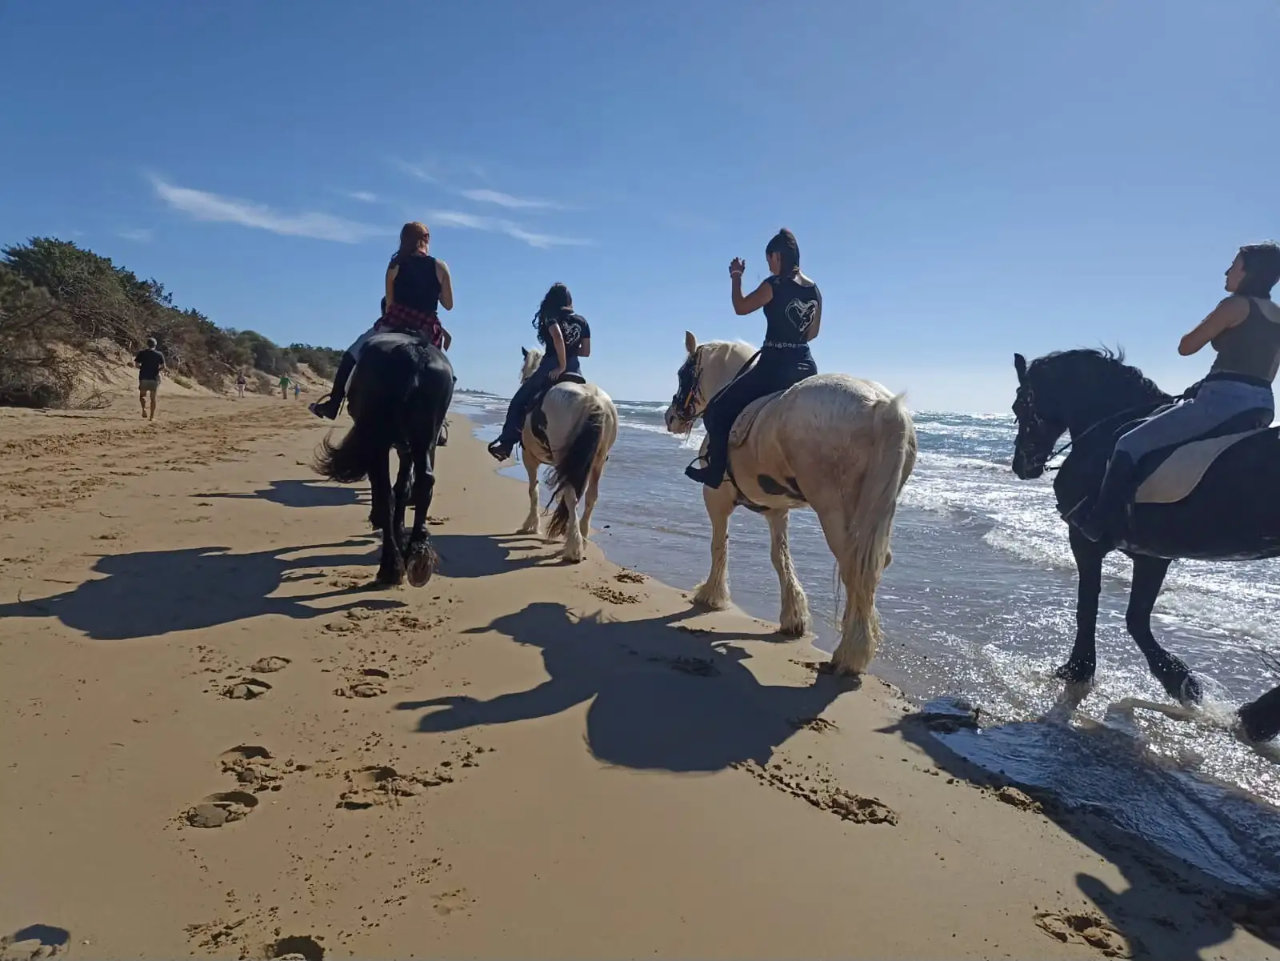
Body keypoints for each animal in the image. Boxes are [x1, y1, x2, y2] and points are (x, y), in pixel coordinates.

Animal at [314, 333, 454, 587]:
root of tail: (415, 352)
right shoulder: (405, 447)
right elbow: (403, 488)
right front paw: (401, 532)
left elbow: (387, 489)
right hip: (424, 438)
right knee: (424, 482)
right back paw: (418, 554)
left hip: (379, 439)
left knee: (385, 492)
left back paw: (390, 566)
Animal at [513, 347, 618, 563]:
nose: (523, 379)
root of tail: (593, 399)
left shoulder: (530, 458)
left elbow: (533, 490)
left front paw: (531, 525)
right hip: (596, 461)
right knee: (590, 497)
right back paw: (582, 538)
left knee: (572, 496)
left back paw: (574, 548)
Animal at [664, 332, 916, 676]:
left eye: (682, 373)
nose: (670, 418)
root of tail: (882, 407)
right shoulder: (776, 510)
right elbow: (780, 556)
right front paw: (793, 618)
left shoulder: (715, 499)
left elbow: (719, 544)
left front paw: (711, 595)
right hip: (874, 512)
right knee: (871, 565)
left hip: (833, 509)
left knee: (854, 566)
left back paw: (849, 653)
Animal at [1010, 348, 1280, 741]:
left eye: (1019, 406)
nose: (1022, 465)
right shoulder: (1151, 556)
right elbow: (1135, 617)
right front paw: (1182, 683)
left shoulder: (1088, 542)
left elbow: (1092, 608)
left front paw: (1079, 668)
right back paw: (1258, 718)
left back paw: (1256, 718)